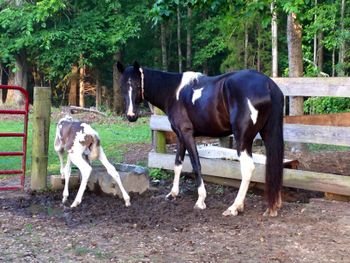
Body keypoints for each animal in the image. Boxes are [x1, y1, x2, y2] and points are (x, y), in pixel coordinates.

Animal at [117, 61, 284, 217]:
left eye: (137, 85)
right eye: (122, 87)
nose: (131, 116)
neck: (174, 92)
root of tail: (268, 84)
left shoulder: (187, 134)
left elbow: (196, 164)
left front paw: (201, 200)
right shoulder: (180, 136)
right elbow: (177, 163)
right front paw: (173, 194)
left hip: (242, 139)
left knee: (248, 168)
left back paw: (234, 207)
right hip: (266, 134)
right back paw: (271, 206)